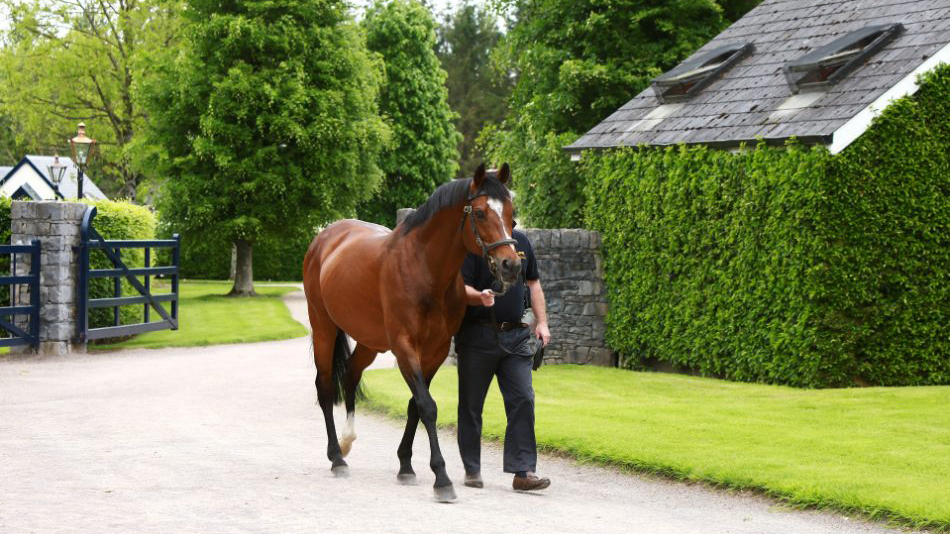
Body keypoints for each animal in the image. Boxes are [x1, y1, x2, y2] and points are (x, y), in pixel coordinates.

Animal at [304, 164, 520, 502]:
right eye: (481, 213)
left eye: (512, 213)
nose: (510, 265)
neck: (424, 269)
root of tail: (325, 237)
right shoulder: (405, 346)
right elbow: (427, 406)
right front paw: (442, 478)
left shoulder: (436, 351)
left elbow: (415, 405)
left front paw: (406, 466)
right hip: (324, 327)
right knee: (325, 386)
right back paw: (337, 457)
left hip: (370, 342)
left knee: (350, 375)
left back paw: (347, 440)